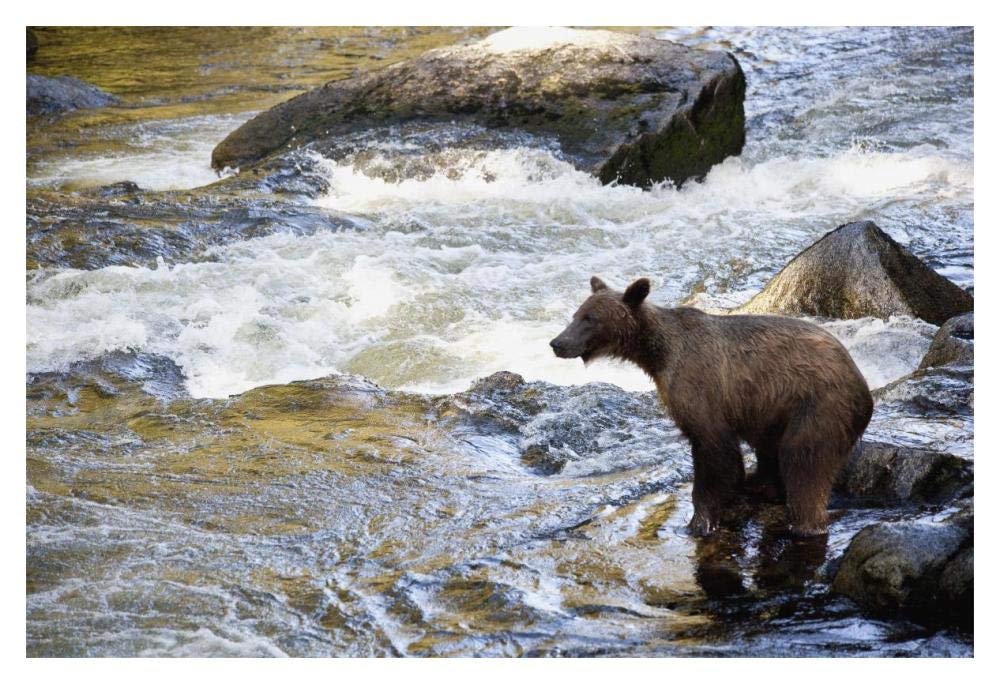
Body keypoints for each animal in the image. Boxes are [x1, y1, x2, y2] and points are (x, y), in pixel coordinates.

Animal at [550, 276, 873, 537]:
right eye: (576, 314)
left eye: (590, 318)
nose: (557, 342)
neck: (658, 355)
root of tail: (863, 386)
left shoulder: (701, 389)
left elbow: (716, 454)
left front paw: (699, 522)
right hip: (776, 411)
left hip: (818, 406)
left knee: (804, 465)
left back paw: (806, 524)